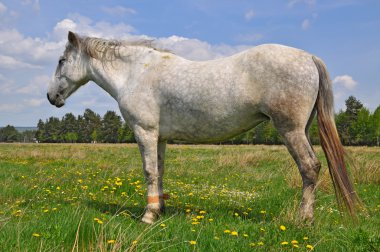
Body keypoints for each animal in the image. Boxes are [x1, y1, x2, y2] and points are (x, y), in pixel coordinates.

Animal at [47, 31, 360, 222]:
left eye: (61, 60)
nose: (51, 97)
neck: (137, 73)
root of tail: (308, 57)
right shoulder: (160, 138)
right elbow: (160, 171)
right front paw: (159, 209)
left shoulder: (144, 132)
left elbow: (149, 171)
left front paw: (148, 215)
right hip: (301, 129)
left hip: (290, 130)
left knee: (309, 168)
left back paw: (303, 219)